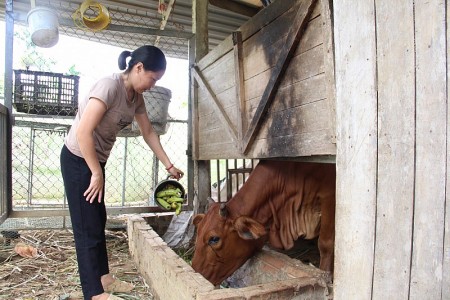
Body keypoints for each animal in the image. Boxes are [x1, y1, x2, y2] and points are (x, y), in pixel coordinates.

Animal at [192, 161, 336, 284]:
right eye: (198, 232)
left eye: (214, 239)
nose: (196, 272)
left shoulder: (329, 196)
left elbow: (325, 244)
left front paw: (326, 275)